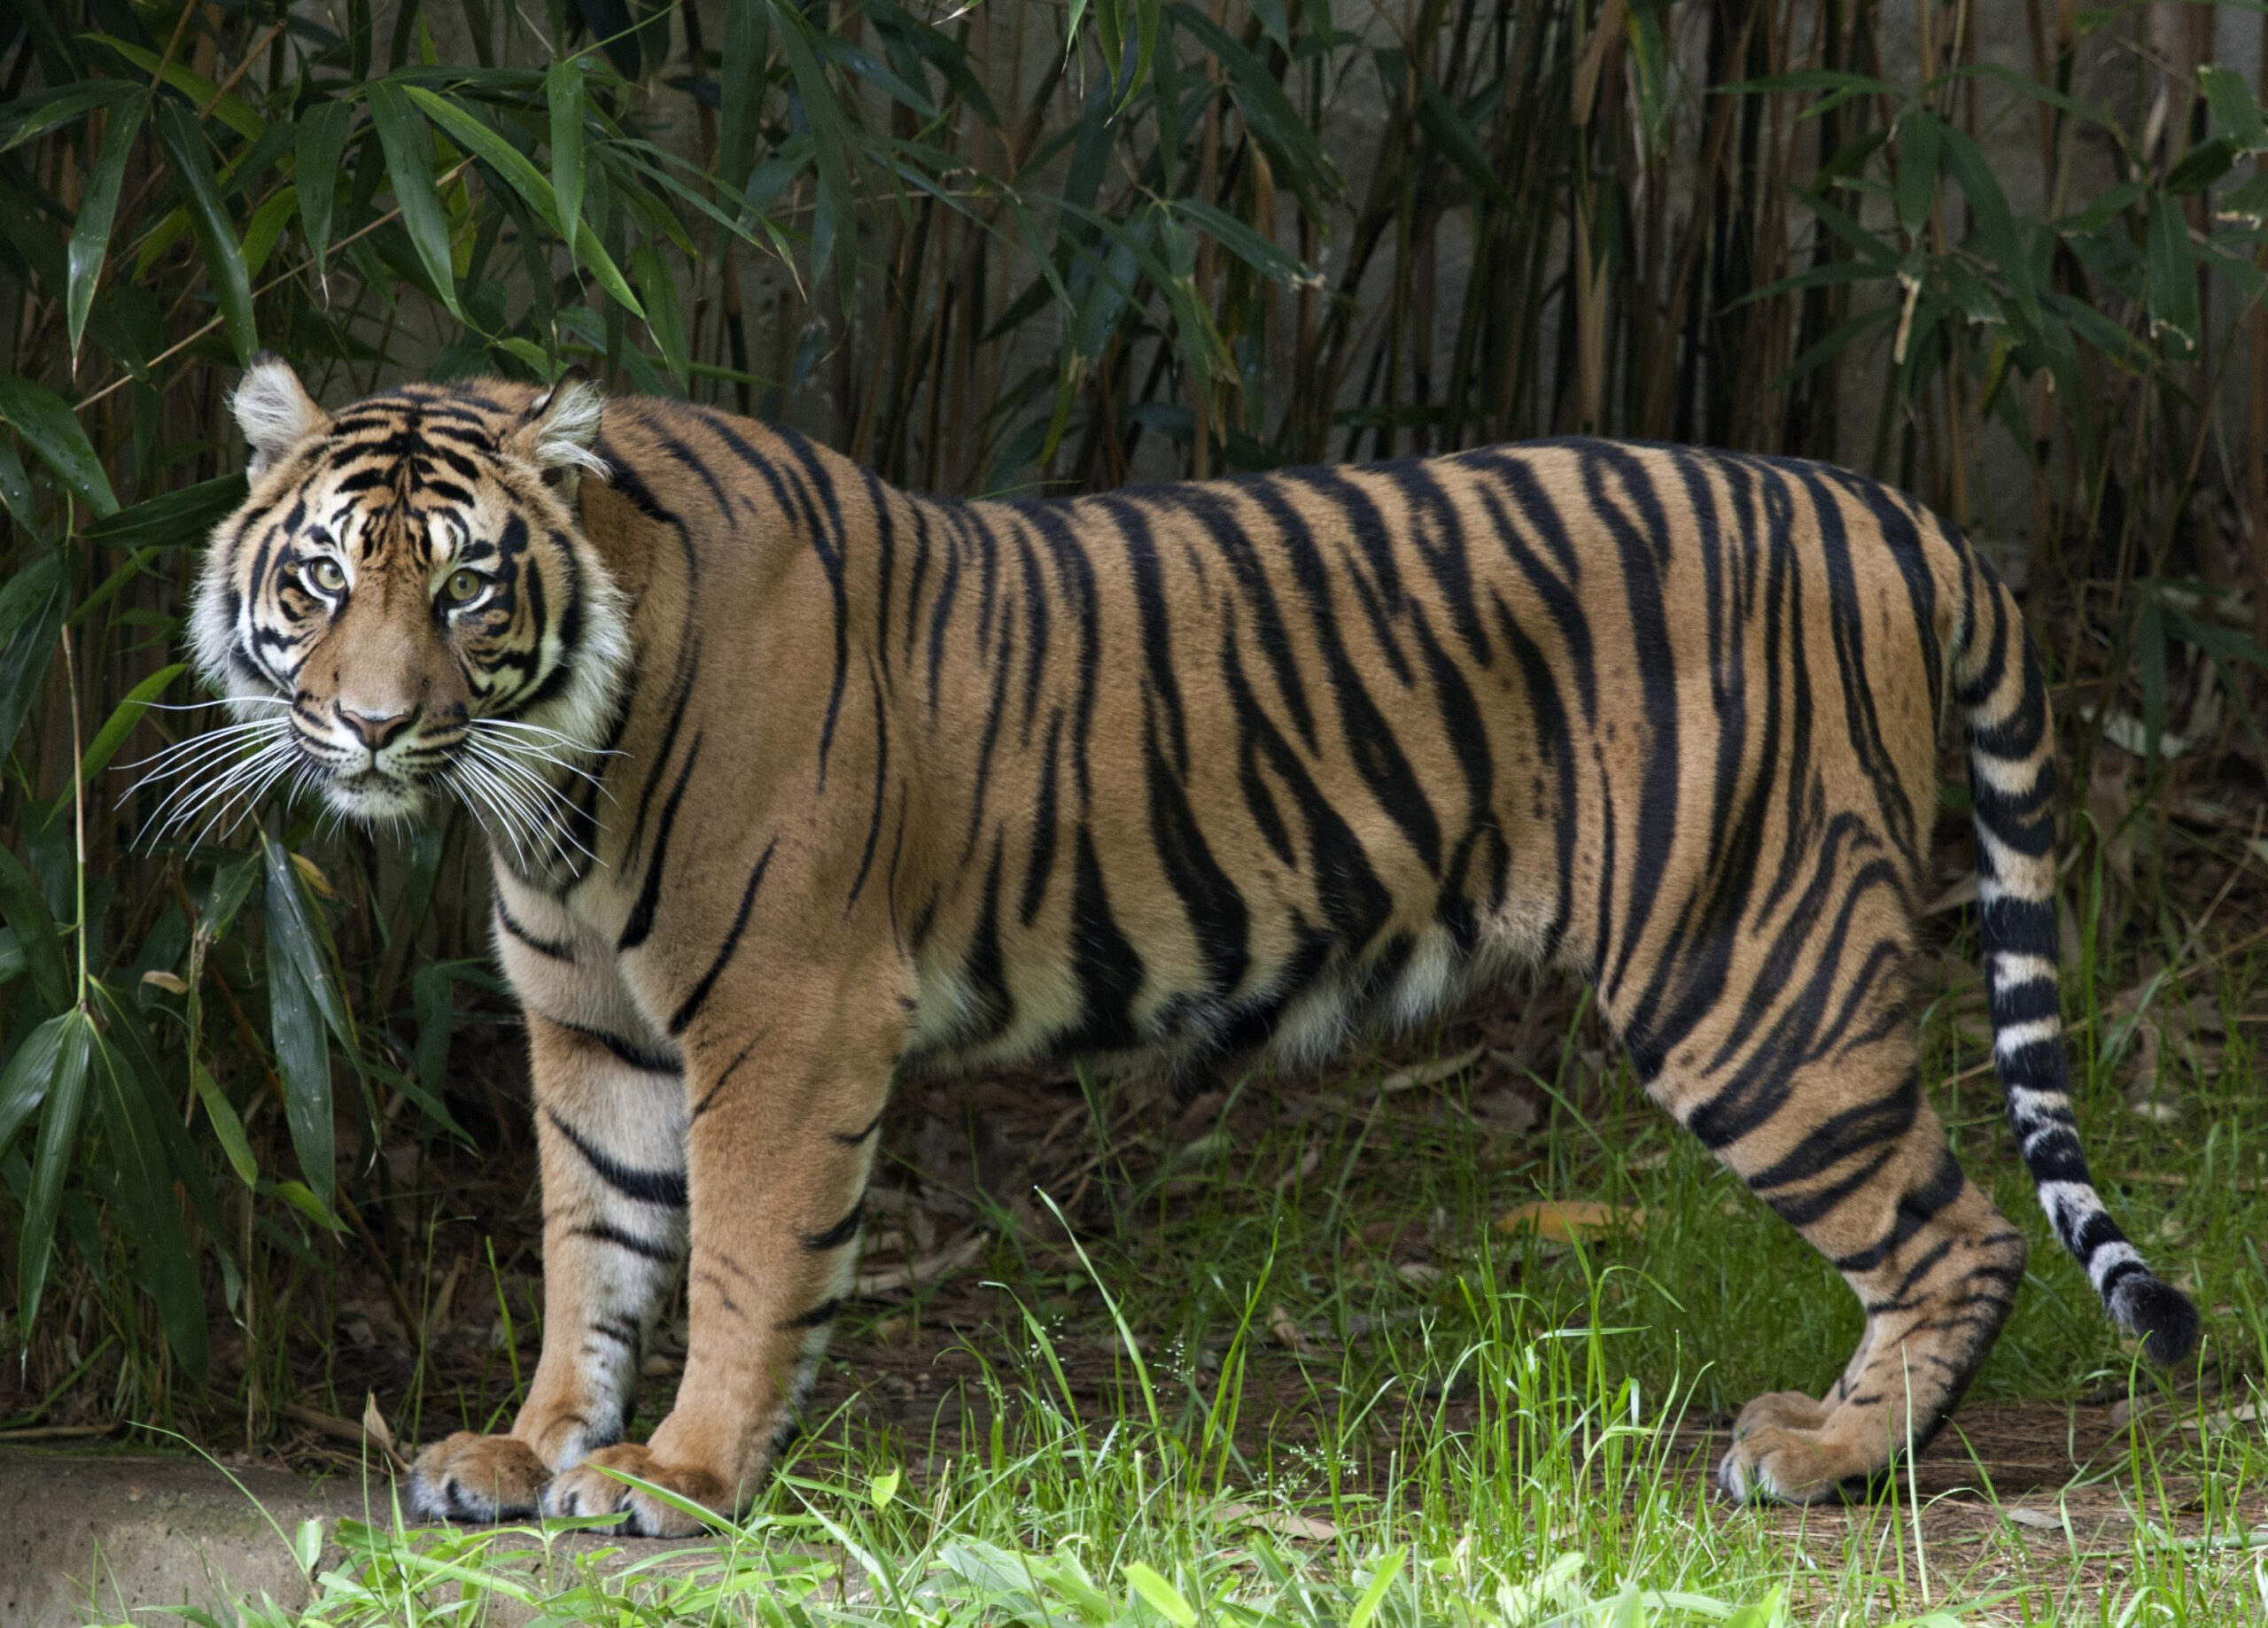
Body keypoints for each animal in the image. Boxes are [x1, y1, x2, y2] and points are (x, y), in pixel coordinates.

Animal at [186, 354, 2196, 1536]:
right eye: (324, 577)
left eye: (467, 584)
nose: (371, 726)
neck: (547, 776)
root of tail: (1888, 506)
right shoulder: (592, 1029)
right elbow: (588, 1255)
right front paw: (528, 1452)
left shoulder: (783, 1020)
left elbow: (745, 1260)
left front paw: (674, 1476)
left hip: (1746, 965)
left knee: (1952, 1232)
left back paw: (1833, 1457)